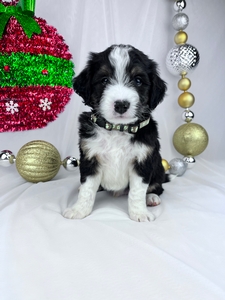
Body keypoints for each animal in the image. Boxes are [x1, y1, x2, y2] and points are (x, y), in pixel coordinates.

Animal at [63, 45, 167, 223]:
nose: (121, 105)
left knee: (157, 186)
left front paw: (139, 213)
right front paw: (79, 210)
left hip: (158, 167)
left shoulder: (142, 161)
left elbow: (137, 192)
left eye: (138, 80)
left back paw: (152, 197)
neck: (118, 129)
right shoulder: (90, 157)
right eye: (104, 80)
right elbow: (87, 189)